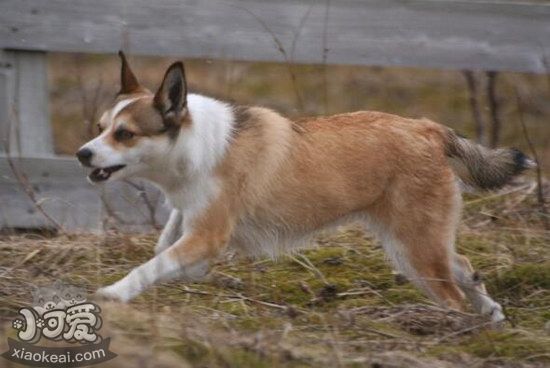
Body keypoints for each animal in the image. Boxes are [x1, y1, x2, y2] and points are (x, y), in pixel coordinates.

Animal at [76, 52, 536, 322]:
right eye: (100, 127)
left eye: (125, 134)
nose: (82, 154)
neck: (193, 146)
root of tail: (428, 128)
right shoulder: (194, 231)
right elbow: (163, 248)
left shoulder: (206, 236)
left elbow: (149, 265)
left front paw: (115, 293)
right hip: (420, 242)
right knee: (464, 267)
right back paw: (491, 315)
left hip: (414, 250)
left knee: (453, 294)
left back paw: (454, 330)